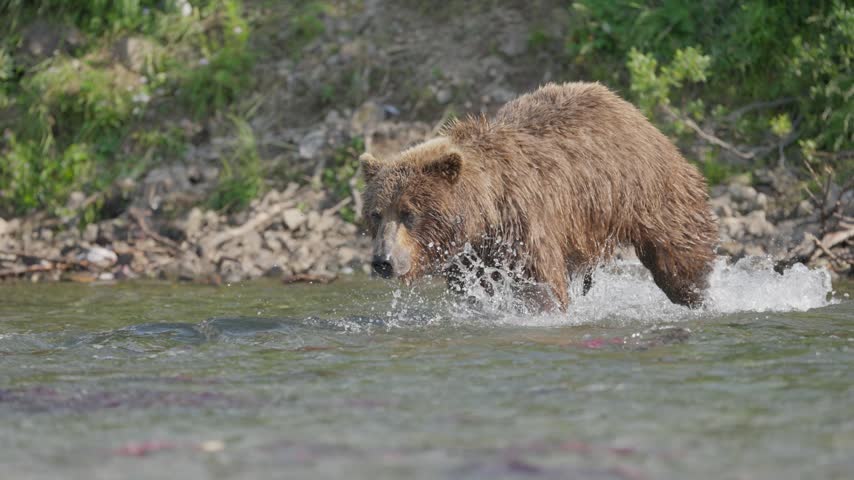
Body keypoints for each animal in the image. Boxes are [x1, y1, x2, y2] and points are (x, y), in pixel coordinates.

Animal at [359, 82, 719, 311]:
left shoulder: (525, 225)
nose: (383, 261)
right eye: (376, 214)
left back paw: (698, 295)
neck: (484, 214)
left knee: (678, 251)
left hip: (647, 188)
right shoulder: (470, 258)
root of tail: (629, 108)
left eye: (409, 213)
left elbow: (540, 284)